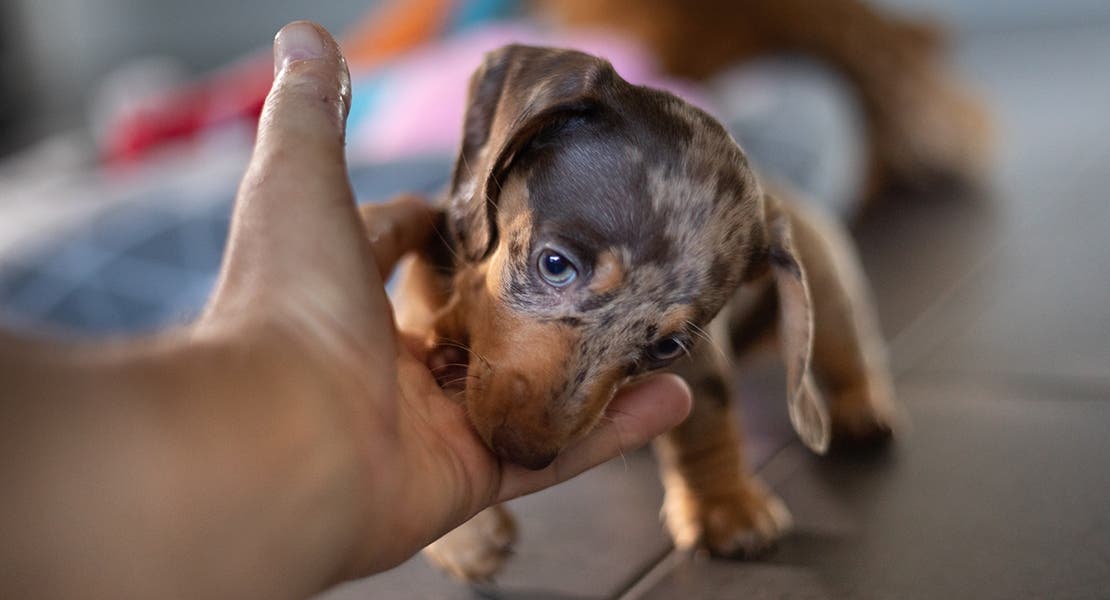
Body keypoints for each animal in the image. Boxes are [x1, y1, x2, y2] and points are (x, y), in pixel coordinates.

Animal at [395, 43, 896, 581]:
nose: (523, 453)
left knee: (845, 346)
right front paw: (467, 539)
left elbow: (704, 423)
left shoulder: (699, 363)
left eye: (667, 347)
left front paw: (725, 506)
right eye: (555, 264)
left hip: (826, 280)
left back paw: (862, 407)